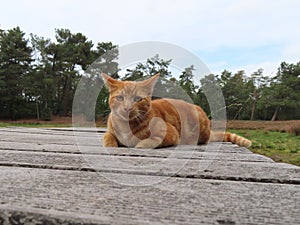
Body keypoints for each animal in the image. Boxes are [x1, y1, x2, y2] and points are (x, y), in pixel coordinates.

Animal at [101, 73, 251, 149]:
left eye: (138, 99)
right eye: (120, 98)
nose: (127, 108)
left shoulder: (171, 134)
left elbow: (146, 143)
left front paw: (139, 144)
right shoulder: (109, 132)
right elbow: (108, 138)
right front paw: (112, 143)